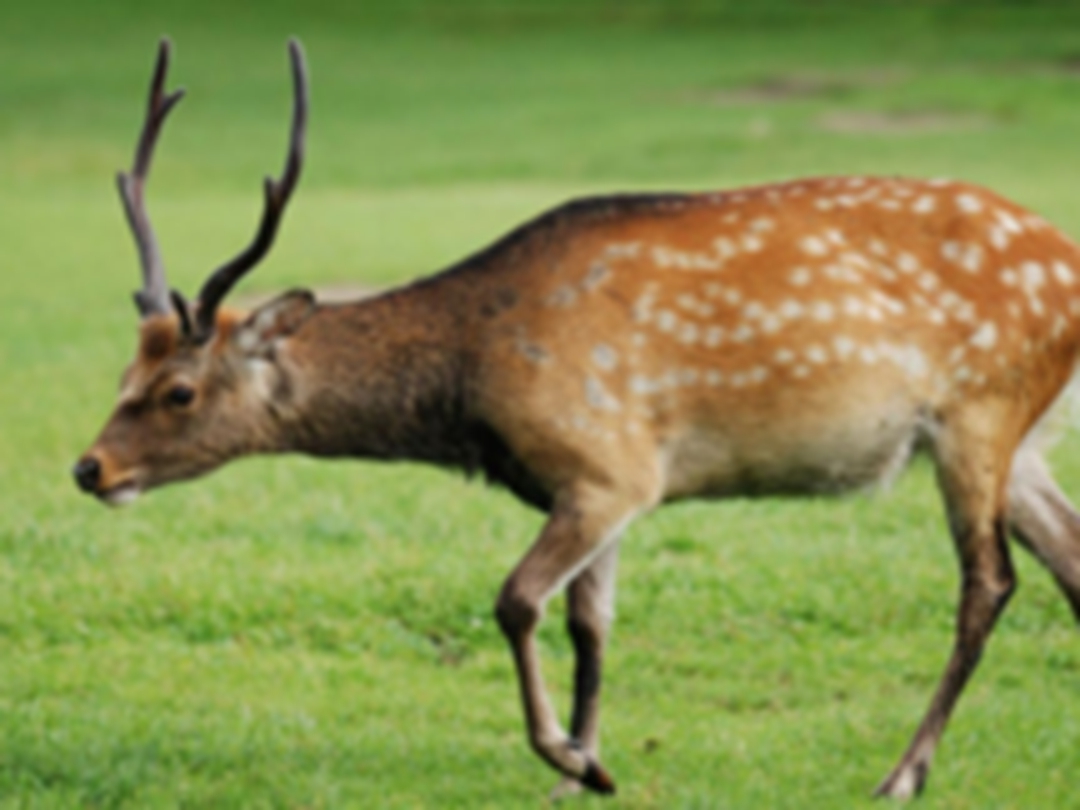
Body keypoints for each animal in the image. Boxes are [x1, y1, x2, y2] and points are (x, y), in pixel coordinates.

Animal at [72, 37, 1080, 801]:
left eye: (179, 391)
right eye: (125, 368)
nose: (90, 467)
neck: (472, 388)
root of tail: (1067, 262)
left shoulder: (607, 465)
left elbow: (517, 600)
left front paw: (571, 759)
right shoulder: (606, 485)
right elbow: (590, 623)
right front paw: (584, 765)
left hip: (978, 409)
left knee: (989, 581)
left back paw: (902, 774)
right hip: (1024, 439)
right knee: (1067, 561)